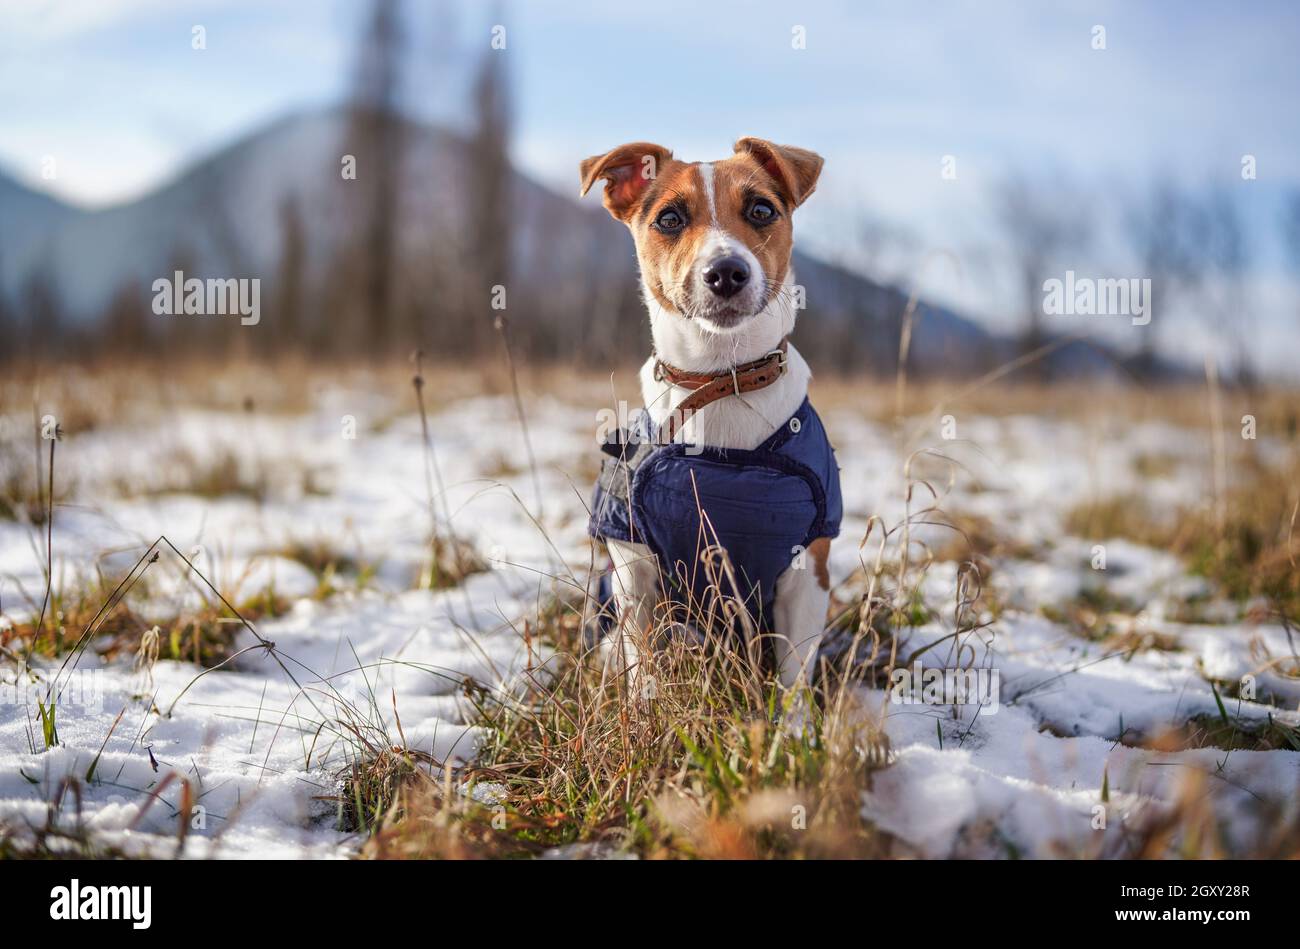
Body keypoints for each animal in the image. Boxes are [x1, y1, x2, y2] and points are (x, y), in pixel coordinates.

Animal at [582, 136, 842, 696]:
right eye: (669, 218)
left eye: (762, 209)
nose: (725, 272)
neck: (722, 378)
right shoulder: (635, 571)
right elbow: (644, 665)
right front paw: (645, 708)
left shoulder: (807, 576)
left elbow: (793, 680)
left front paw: (791, 722)